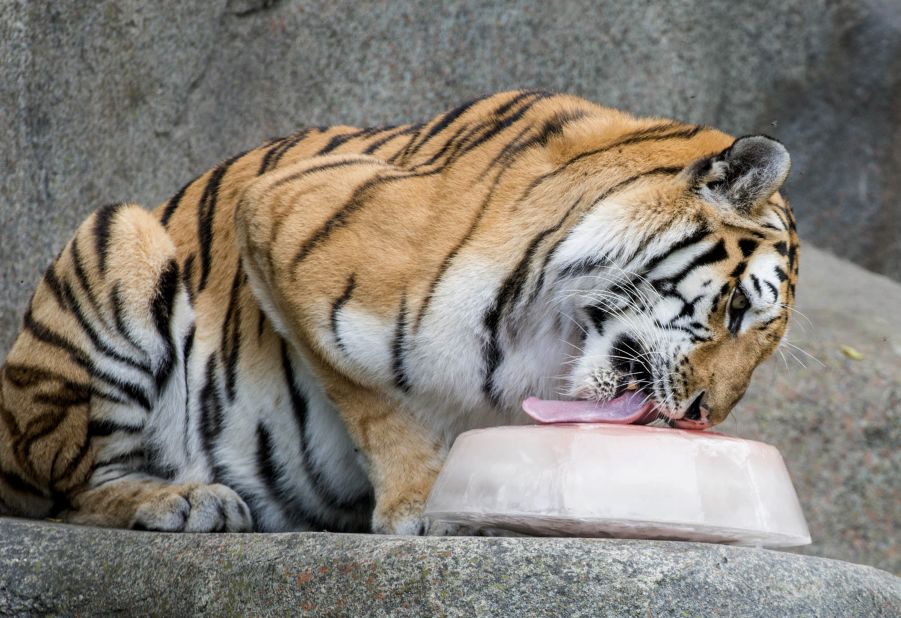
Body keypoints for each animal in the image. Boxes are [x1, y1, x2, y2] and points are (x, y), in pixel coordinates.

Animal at [0, 90, 800, 528]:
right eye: (733, 308)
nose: (702, 416)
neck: (551, 328)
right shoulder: (280, 224)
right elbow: (376, 404)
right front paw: (420, 504)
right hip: (120, 236)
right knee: (76, 490)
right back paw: (184, 501)